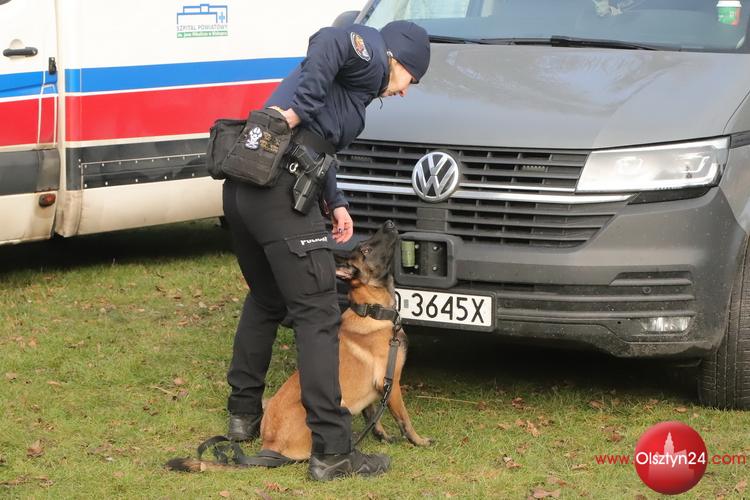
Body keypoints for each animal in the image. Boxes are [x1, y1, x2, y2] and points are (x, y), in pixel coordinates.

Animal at [168, 220, 430, 472]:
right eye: (366, 249)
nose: (389, 224)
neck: (372, 310)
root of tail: (269, 445)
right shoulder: (391, 385)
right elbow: (404, 419)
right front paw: (419, 441)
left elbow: (373, 417)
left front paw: (383, 437)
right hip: (340, 408)